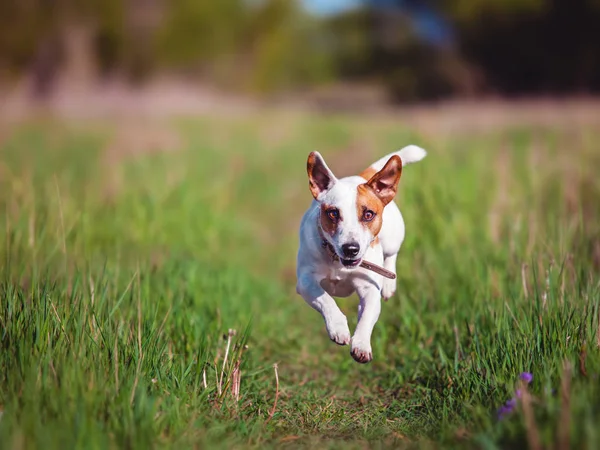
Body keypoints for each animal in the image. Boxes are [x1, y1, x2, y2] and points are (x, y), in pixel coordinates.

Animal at [296, 146, 426, 364]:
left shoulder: (369, 288)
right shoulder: (305, 282)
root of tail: (361, 177)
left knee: (391, 257)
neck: (338, 262)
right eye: (333, 213)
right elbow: (326, 299)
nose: (351, 248)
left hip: (393, 238)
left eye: (368, 214)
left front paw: (361, 345)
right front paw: (338, 327)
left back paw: (389, 284)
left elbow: (366, 317)